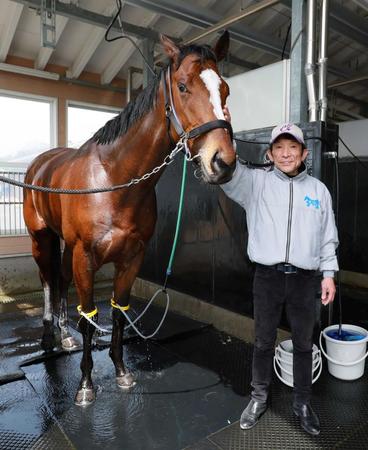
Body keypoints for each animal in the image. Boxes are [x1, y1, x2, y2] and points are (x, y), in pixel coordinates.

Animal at [23, 31, 236, 404]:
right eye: (183, 86)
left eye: (224, 89)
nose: (222, 162)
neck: (113, 180)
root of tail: (39, 164)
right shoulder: (85, 257)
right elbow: (88, 318)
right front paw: (85, 386)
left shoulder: (131, 258)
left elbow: (119, 313)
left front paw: (121, 372)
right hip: (42, 239)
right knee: (48, 280)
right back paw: (49, 337)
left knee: (61, 280)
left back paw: (63, 335)